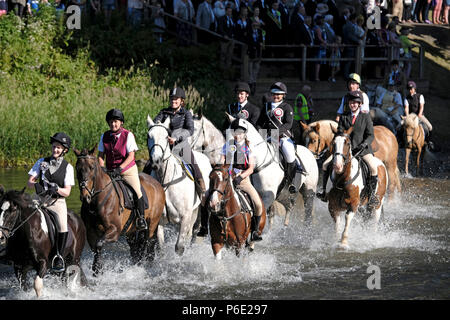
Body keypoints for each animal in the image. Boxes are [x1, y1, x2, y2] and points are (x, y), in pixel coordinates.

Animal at [74, 146, 165, 274]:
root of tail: (157, 184)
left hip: (152, 223)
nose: (85, 196)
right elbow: (95, 249)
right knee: (135, 248)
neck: (95, 201)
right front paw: (97, 269)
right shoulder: (90, 231)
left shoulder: (115, 230)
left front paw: (98, 268)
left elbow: (99, 244)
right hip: (131, 230)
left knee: (149, 243)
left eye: (92, 168)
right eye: (77, 168)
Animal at [146, 115, 213, 255]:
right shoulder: (159, 220)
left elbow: (179, 247)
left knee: (194, 232)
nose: (156, 161)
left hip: (198, 209)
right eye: (149, 136)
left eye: (166, 136)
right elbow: (161, 247)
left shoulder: (185, 217)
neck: (166, 180)